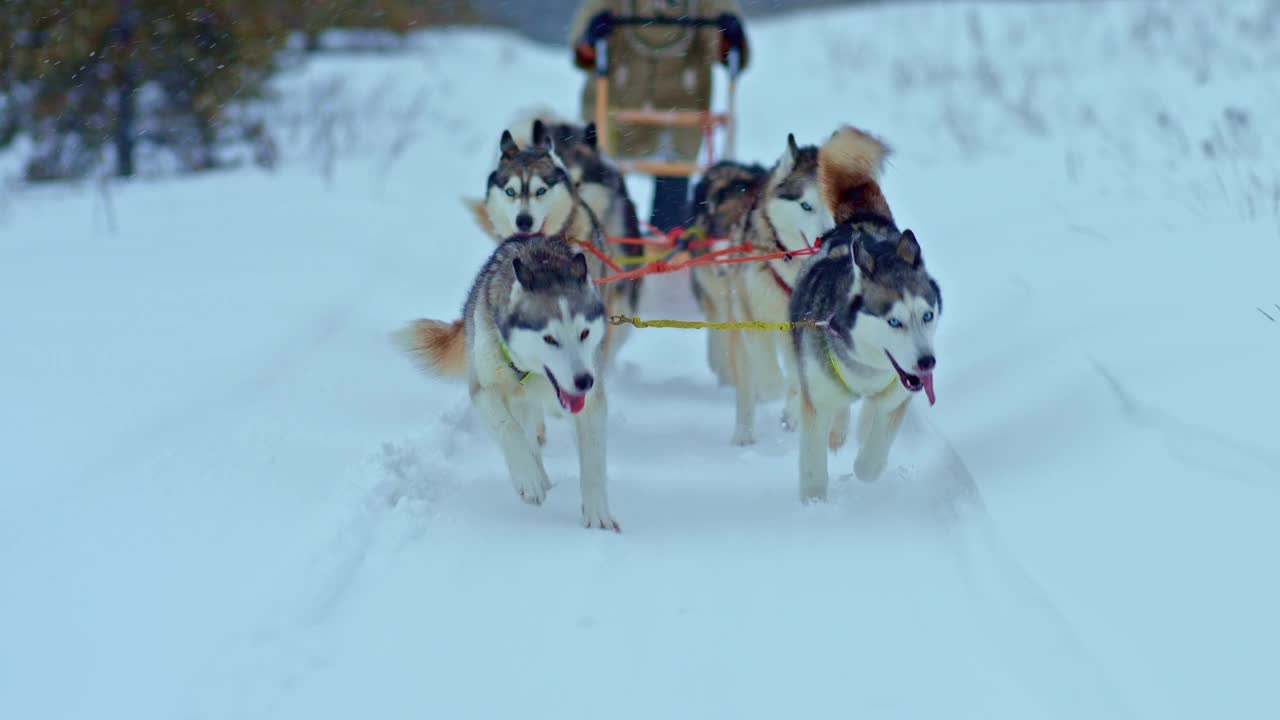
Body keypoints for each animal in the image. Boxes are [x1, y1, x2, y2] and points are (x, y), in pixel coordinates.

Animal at [399, 234, 619, 527]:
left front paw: (597, 514)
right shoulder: (483, 390)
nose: (584, 381)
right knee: (526, 434)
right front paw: (529, 479)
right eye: (549, 338)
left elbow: (593, 459)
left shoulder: (591, 403)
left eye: (584, 332)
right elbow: (509, 429)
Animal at [727, 131, 834, 440]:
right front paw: (771, 387)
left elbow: (799, 379)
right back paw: (743, 434)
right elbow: (767, 367)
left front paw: (792, 409)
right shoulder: (750, 312)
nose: (826, 238)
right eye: (806, 205)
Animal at [788, 126, 942, 502]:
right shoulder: (818, 397)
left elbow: (871, 460)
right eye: (894, 321)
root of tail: (863, 223)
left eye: (927, 315)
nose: (927, 362)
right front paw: (814, 502)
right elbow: (813, 463)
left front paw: (865, 465)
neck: (867, 370)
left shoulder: (897, 396)